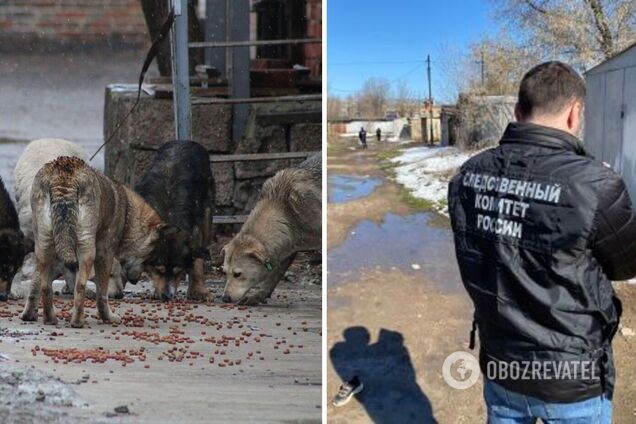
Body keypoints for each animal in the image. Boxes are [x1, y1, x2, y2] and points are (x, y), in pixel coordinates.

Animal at [21, 157, 168, 326]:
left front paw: (29, 314)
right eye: (149, 257)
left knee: (46, 287)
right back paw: (78, 321)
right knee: (80, 287)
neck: (127, 215)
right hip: (86, 250)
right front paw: (108, 317)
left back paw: (50, 319)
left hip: (44, 246)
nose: (136, 281)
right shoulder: (105, 254)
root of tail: (64, 175)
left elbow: (35, 285)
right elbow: (102, 295)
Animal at [135, 141, 215, 300]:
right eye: (158, 269)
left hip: (206, 211)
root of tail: (183, 141)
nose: (167, 296)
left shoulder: (195, 228)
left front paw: (198, 290)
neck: (168, 215)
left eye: (178, 272)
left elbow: (196, 261)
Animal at [224, 154, 322, 304]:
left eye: (237, 274)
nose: (224, 298)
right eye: (224, 272)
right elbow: (274, 275)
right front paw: (258, 296)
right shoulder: (288, 243)